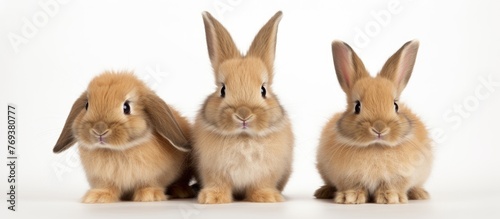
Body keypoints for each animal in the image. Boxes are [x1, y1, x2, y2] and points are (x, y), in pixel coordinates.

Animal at [52, 72, 195, 204]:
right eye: (86, 105)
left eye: (126, 107)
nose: (99, 129)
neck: (117, 150)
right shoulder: (102, 177)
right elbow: (106, 186)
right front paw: (98, 197)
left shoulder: (154, 175)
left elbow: (149, 183)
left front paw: (149, 195)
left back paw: (181, 191)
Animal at [190, 11, 292, 204]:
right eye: (222, 90)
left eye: (263, 90)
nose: (243, 114)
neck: (243, 138)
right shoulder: (212, 169)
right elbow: (218, 183)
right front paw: (212, 197)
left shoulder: (266, 173)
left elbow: (261, 185)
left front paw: (267, 197)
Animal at [316, 40, 434, 204]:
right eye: (357, 106)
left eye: (395, 106)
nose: (379, 128)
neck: (375, 146)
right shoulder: (347, 177)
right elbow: (353, 186)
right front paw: (350, 197)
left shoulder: (400, 177)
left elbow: (392, 185)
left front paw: (391, 197)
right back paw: (323, 191)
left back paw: (419, 193)